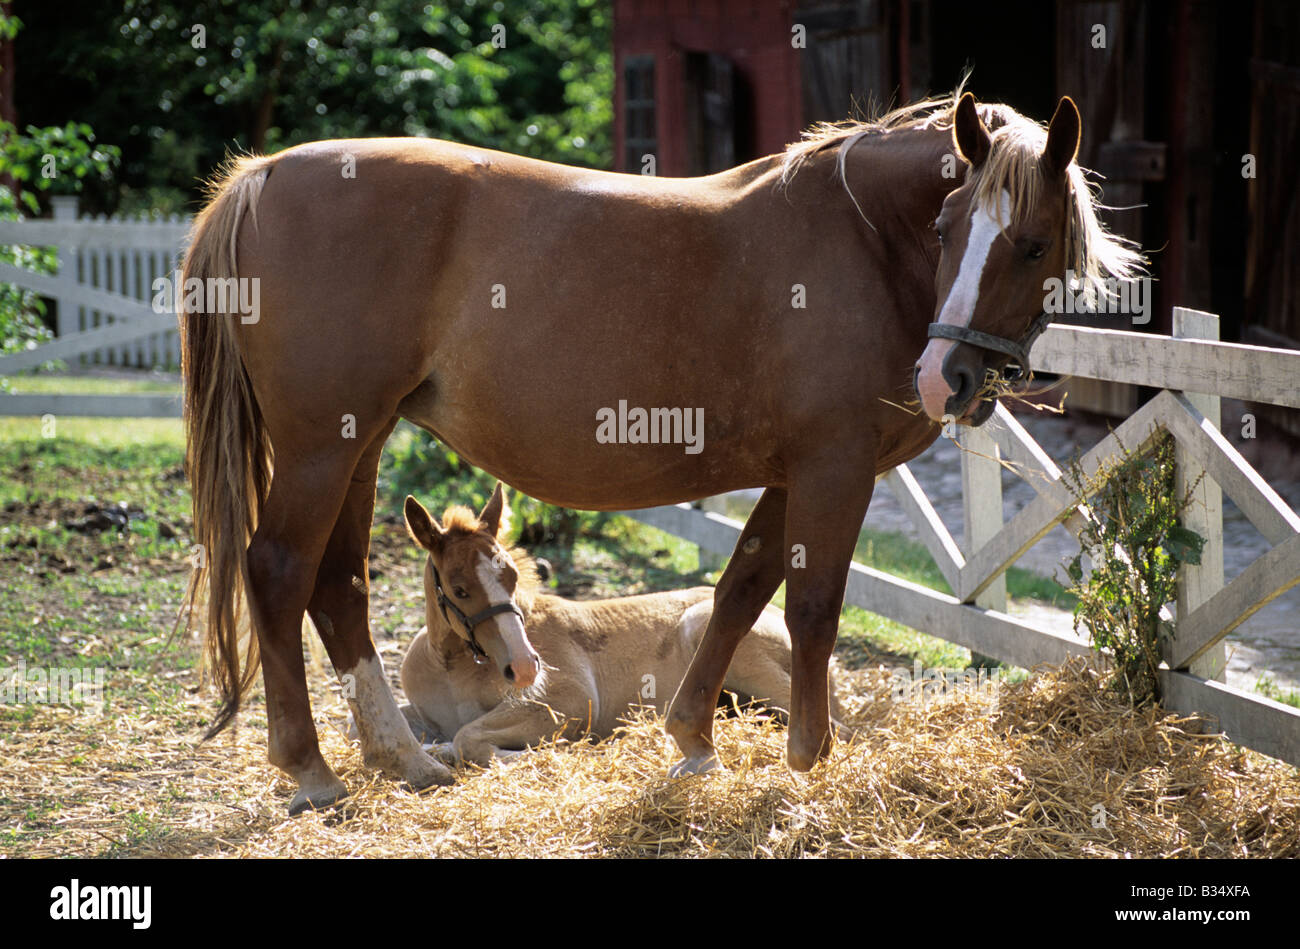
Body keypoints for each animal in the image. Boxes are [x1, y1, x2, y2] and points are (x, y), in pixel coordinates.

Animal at [395, 483, 847, 764]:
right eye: (459, 589)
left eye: (512, 577)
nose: (524, 667)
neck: (452, 668)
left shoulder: (568, 699)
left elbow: (467, 738)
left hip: (710, 632)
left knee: (831, 727)